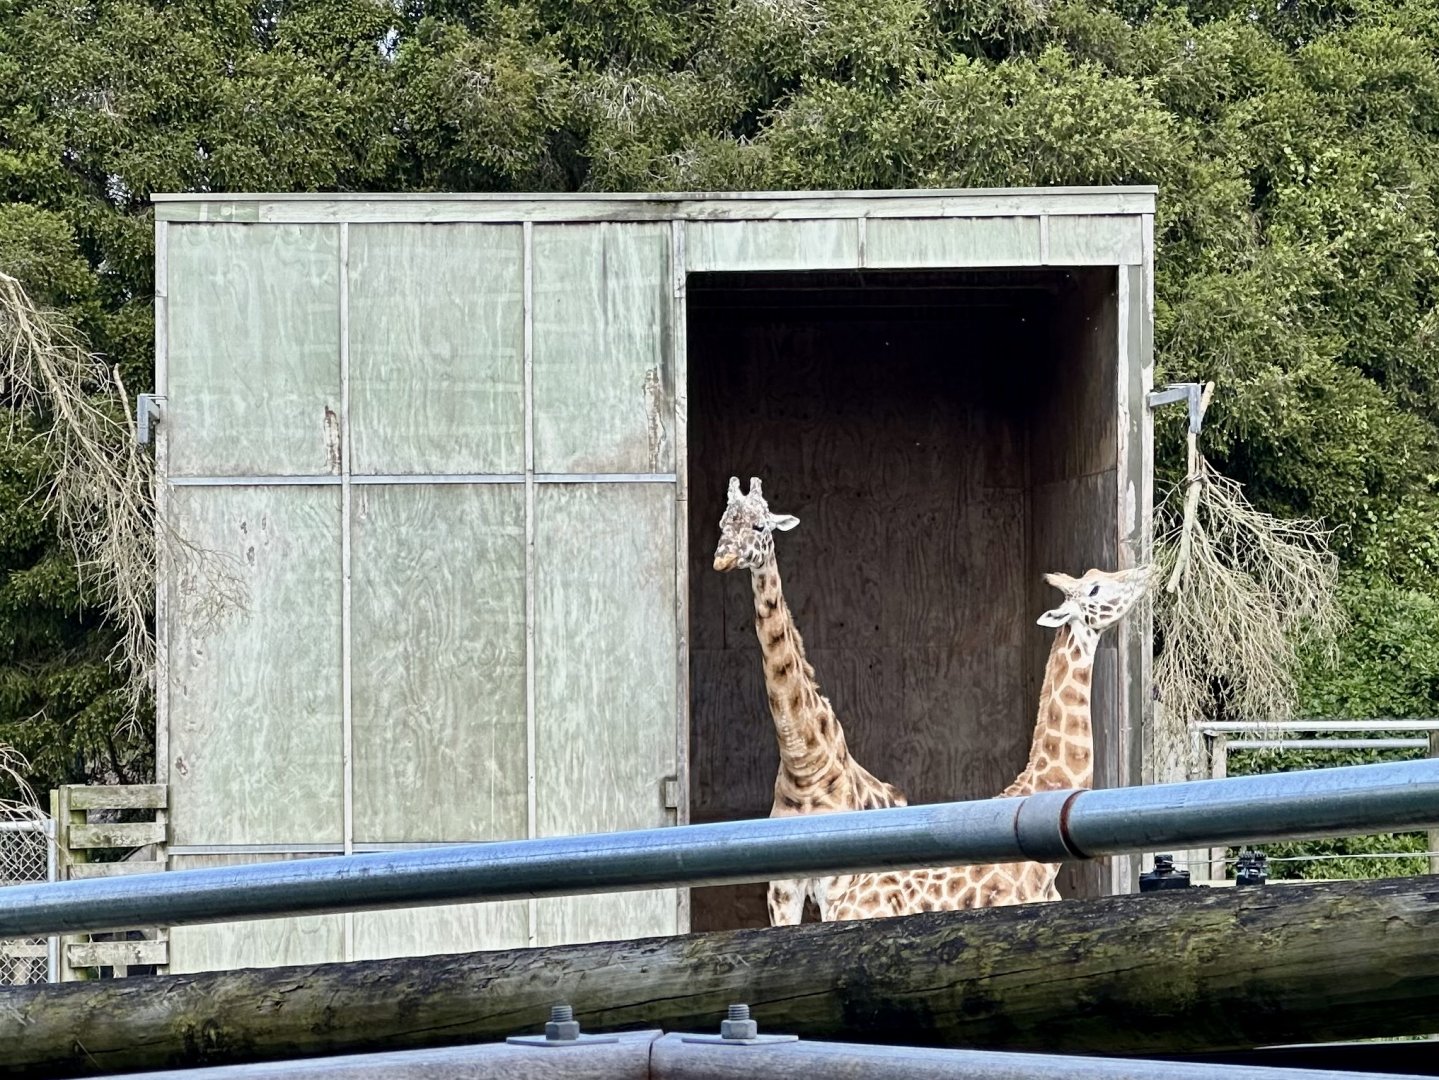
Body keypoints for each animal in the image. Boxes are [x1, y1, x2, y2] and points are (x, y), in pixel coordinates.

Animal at [712, 475, 907, 926]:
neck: (804, 767)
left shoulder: (836, 885)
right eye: (723, 523)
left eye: (760, 526)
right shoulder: (782, 889)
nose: (722, 559)